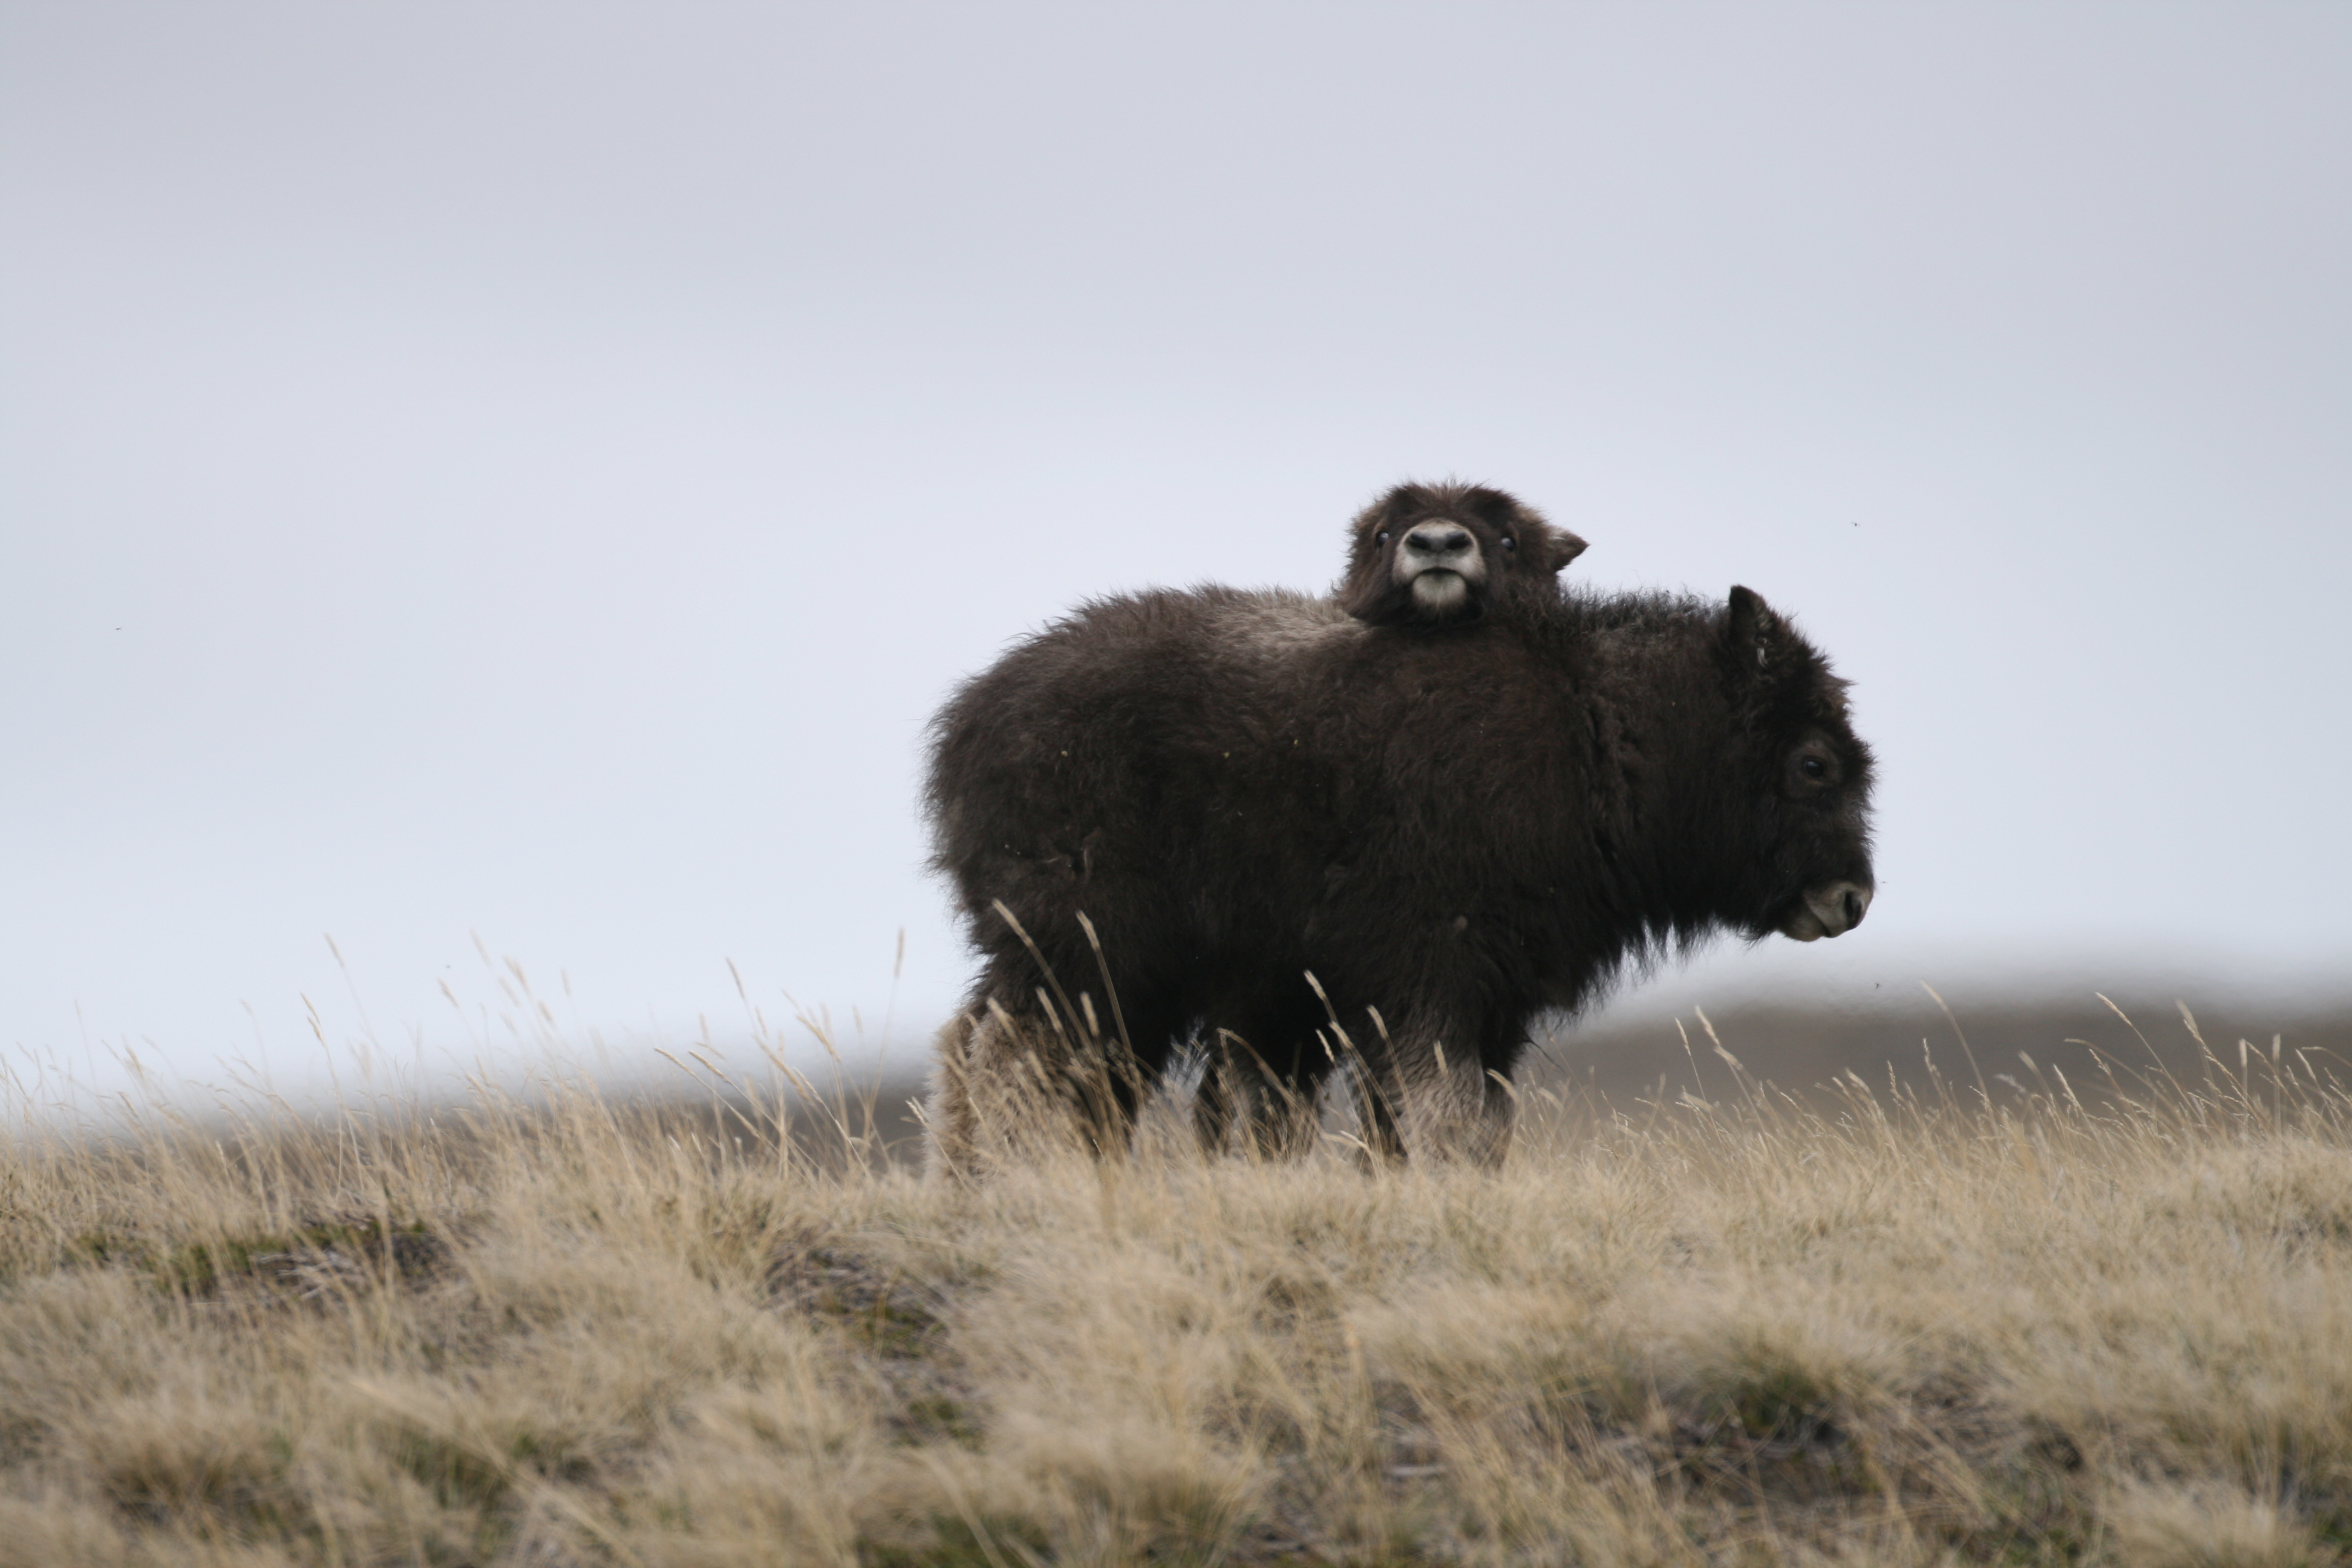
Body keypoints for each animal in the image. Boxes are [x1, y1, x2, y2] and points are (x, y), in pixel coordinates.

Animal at [917, 571, 1872, 1171]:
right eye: (1814, 762)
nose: (1852, 899)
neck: (1600, 733)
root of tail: (967, 720)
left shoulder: (1485, 1005)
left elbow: (1467, 1126)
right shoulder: (1427, 979)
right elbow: (1448, 1117)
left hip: (1105, 984)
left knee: (991, 1060)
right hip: (1085, 957)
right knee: (1006, 1065)